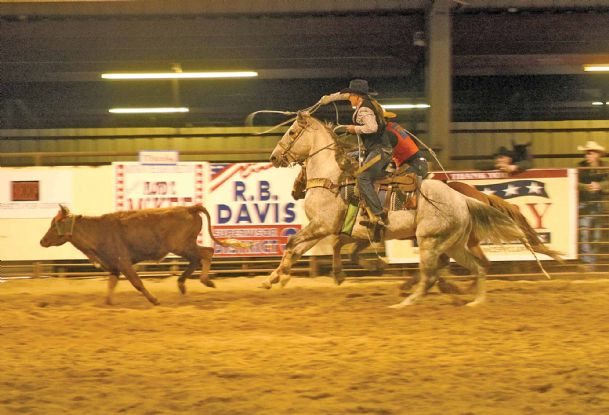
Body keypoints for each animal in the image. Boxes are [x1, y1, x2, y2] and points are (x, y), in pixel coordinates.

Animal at [40, 205, 247, 306]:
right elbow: (111, 284)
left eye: (54, 225)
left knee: (206, 253)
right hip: (185, 246)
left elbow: (137, 283)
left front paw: (154, 300)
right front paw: (108, 303)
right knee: (198, 258)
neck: (98, 230)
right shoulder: (114, 266)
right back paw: (182, 284)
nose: (42, 241)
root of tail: (190, 208)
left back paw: (205, 280)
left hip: (182, 245)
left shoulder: (123, 262)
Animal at [264, 112, 540, 308]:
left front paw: (283, 276)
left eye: (291, 132)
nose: (274, 157)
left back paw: (420, 293)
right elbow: (302, 249)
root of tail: (463, 198)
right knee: (468, 265)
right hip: (452, 242)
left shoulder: (323, 226)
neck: (333, 180)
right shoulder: (324, 229)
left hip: (434, 240)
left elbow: (294, 245)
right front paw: (273, 278)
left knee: (441, 268)